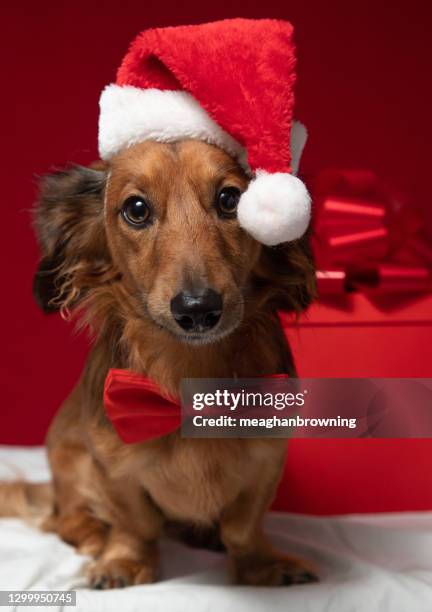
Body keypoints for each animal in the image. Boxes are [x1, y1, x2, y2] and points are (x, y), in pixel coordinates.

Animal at [2, 139, 318, 588]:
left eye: (230, 200)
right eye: (136, 209)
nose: (198, 309)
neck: (190, 372)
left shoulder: (266, 461)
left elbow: (242, 527)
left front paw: (261, 564)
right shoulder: (112, 466)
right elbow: (135, 524)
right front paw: (124, 561)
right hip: (70, 463)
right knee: (67, 518)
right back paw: (94, 535)